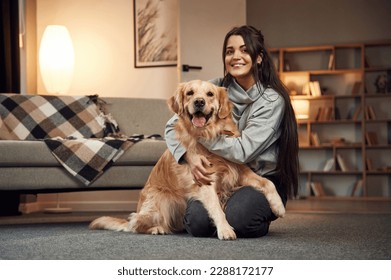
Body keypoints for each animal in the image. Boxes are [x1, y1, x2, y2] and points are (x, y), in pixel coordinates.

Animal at [89, 80, 284, 240]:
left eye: (210, 94)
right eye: (190, 93)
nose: (199, 102)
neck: (209, 134)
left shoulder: (239, 170)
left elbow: (267, 183)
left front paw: (279, 207)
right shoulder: (204, 179)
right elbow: (216, 207)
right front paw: (225, 229)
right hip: (162, 202)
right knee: (135, 222)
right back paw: (156, 229)